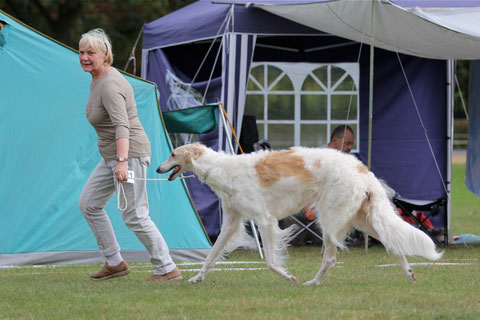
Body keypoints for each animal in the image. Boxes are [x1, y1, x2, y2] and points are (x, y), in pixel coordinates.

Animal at [158, 143, 442, 284]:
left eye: (172, 153)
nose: (158, 168)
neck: (221, 169)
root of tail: (362, 169)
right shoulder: (231, 222)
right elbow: (211, 256)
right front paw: (196, 278)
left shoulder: (265, 220)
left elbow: (271, 262)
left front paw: (290, 277)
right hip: (363, 219)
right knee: (394, 244)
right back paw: (409, 274)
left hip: (330, 220)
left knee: (330, 258)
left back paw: (311, 283)